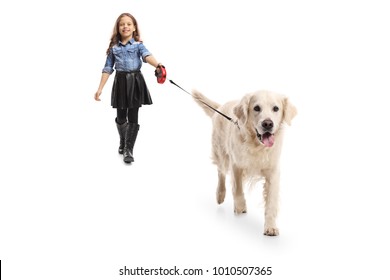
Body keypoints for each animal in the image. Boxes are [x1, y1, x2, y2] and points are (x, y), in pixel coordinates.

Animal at [191, 88, 296, 235]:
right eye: (256, 108)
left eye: (276, 108)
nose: (268, 124)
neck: (256, 145)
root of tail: (220, 107)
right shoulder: (236, 164)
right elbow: (238, 189)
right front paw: (240, 207)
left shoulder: (273, 172)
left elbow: (271, 202)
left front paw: (270, 227)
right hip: (221, 153)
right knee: (221, 173)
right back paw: (220, 194)